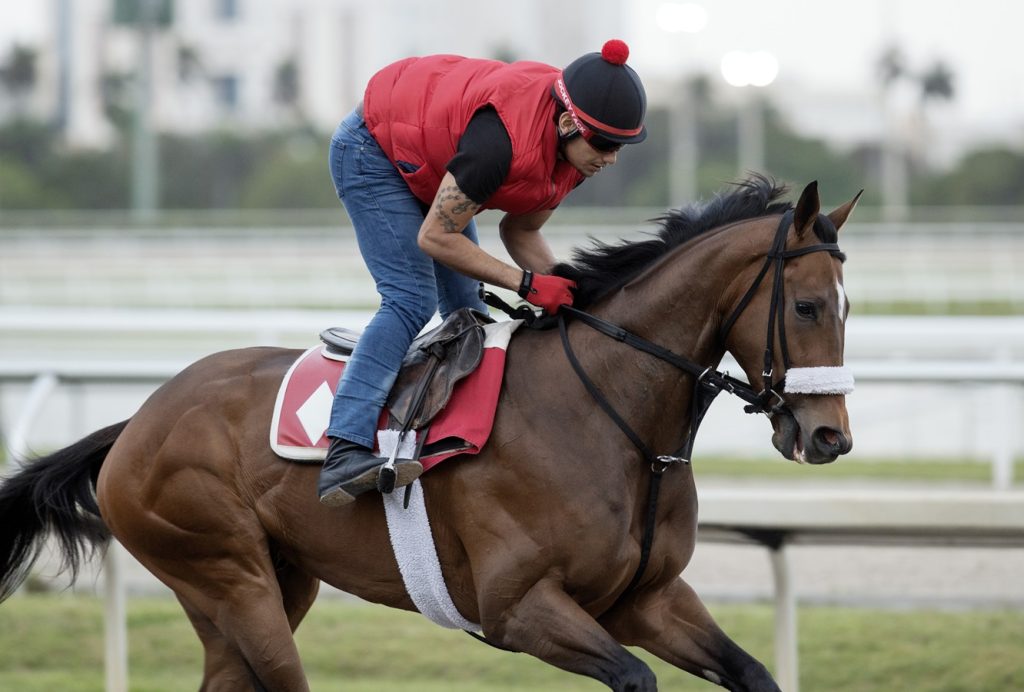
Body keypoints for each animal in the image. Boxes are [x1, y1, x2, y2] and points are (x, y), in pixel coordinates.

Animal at [2, 178, 856, 692]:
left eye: (850, 307)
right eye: (808, 305)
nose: (829, 438)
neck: (615, 422)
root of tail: (138, 421)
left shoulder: (646, 599)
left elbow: (754, 672)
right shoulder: (519, 610)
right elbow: (634, 675)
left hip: (271, 582)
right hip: (227, 574)